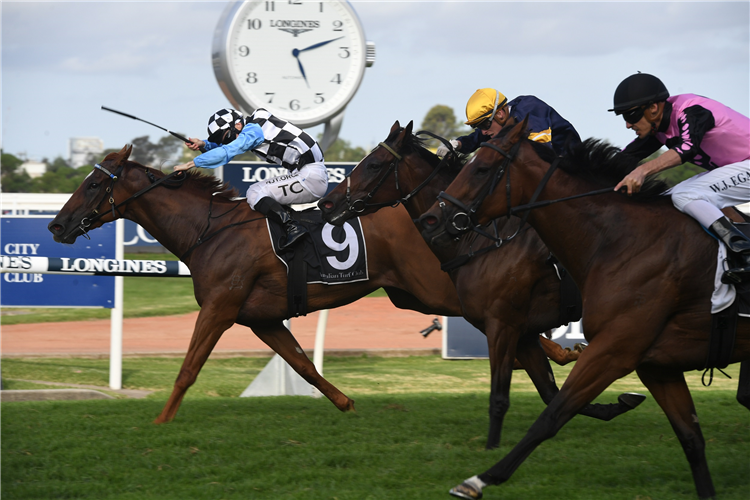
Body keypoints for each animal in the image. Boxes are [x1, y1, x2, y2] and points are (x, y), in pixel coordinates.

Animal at [318, 120, 648, 450]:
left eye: (374, 164)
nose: (326, 203)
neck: (478, 240)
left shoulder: (502, 325)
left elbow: (502, 396)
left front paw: (491, 449)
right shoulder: (523, 332)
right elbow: (550, 392)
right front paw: (618, 403)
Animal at [420, 120, 748, 500]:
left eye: (482, 169)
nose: (430, 218)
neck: (622, 240)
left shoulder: (609, 349)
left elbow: (547, 413)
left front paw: (480, 477)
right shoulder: (655, 364)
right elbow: (691, 438)